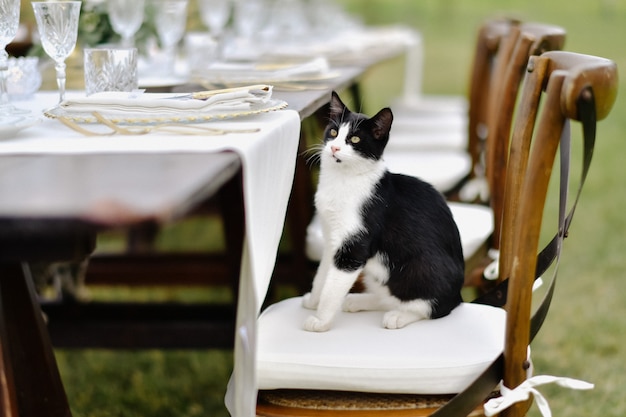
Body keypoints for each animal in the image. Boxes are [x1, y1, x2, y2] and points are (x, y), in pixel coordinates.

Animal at [302, 91, 464, 332]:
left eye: (355, 139)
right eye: (333, 132)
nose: (334, 148)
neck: (343, 179)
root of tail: (459, 295)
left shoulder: (354, 247)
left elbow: (333, 287)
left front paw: (321, 321)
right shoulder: (331, 239)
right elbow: (322, 275)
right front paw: (313, 301)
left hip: (423, 268)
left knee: (434, 307)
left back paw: (399, 316)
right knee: (389, 295)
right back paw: (360, 301)